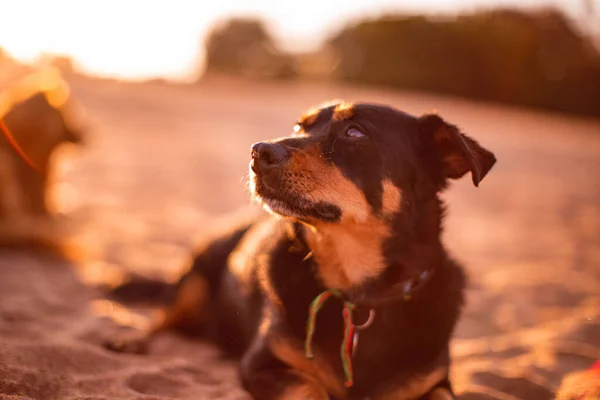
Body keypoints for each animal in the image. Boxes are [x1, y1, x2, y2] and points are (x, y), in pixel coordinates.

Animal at [104, 101, 496, 398]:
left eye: (355, 133)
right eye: (300, 126)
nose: (258, 151)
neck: (357, 297)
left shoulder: (435, 382)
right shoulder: (264, 365)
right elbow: (309, 389)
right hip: (197, 276)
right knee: (162, 313)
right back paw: (132, 340)